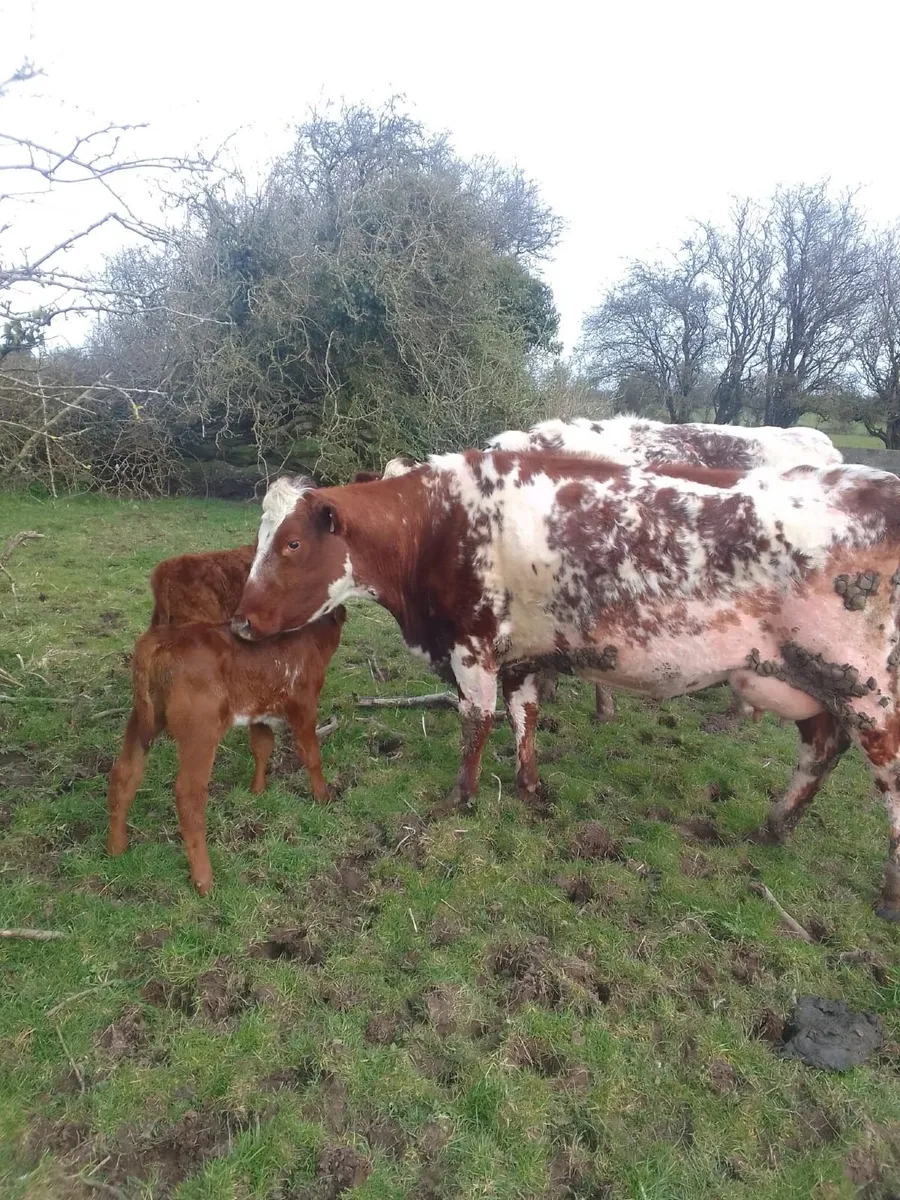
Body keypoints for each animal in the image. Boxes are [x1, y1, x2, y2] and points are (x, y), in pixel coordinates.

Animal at [232, 451, 900, 920]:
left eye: (292, 543)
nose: (240, 622)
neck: (437, 523)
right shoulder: (522, 654)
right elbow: (523, 716)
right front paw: (528, 786)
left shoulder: (472, 646)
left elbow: (476, 719)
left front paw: (460, 797)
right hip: (811, 679)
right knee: (821, 749)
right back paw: (774, 827)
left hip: (869, 689)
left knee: (885, 776)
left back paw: (886, 894)